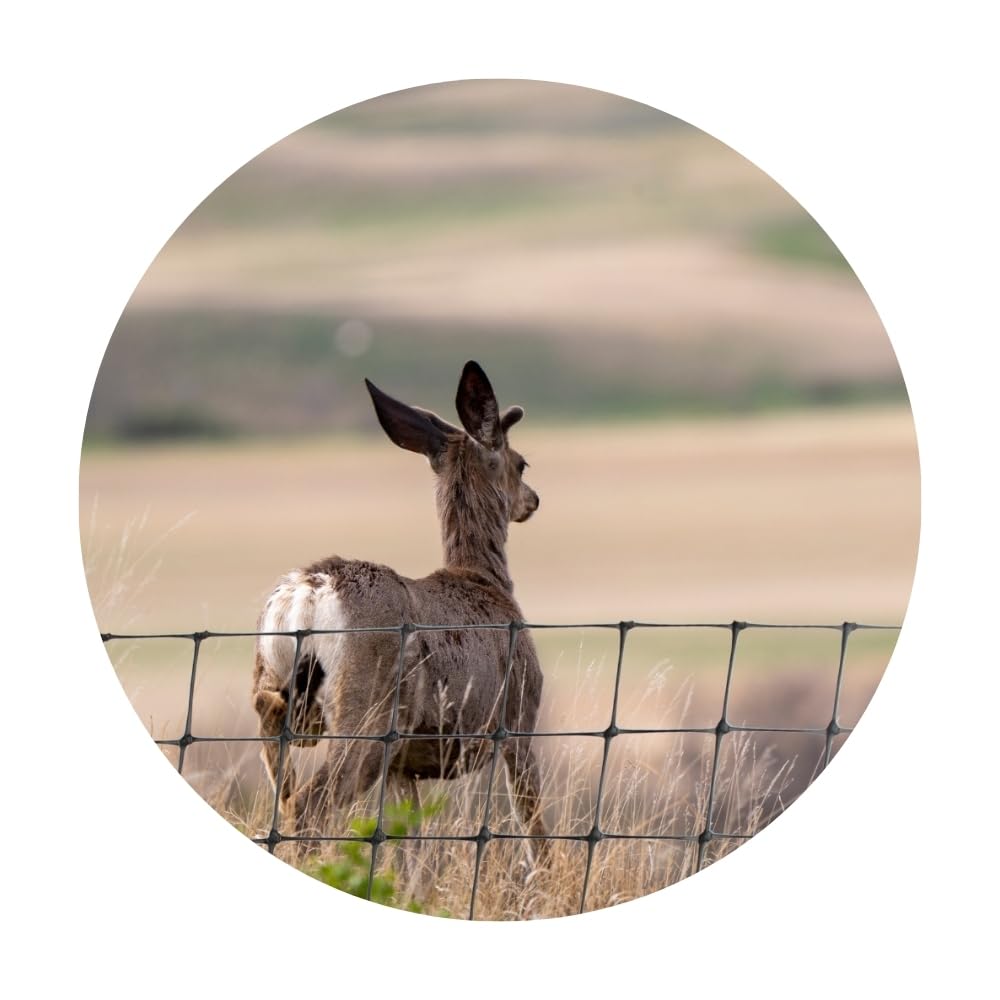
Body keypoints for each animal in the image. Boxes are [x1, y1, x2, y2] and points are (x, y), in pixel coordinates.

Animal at [251, 361, 547, 861]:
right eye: (521, 461)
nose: (534, 499)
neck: (486, 579)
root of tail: (308, 592)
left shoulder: (403, 765)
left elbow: (406, 847)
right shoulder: (519, 718)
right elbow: (535, 830)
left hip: (282, 682)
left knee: (278, 763)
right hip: (366, 708)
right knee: (309, 801)